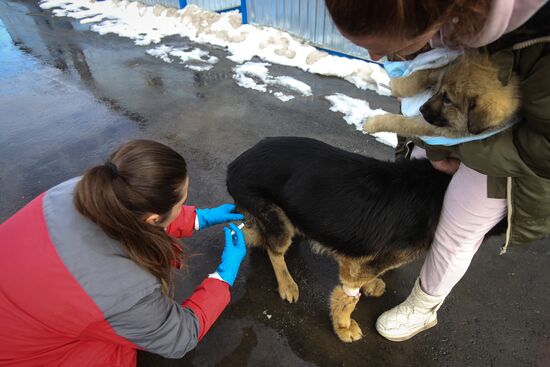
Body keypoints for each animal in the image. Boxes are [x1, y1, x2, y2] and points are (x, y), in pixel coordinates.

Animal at [226, 137, 460, 344]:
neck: (438, 187)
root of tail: (235, 163)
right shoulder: (356, 269)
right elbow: (349, 299)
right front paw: (343, 326)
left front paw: (370, 285)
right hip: (278, 222)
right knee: (273, 251)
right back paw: (287, 284)